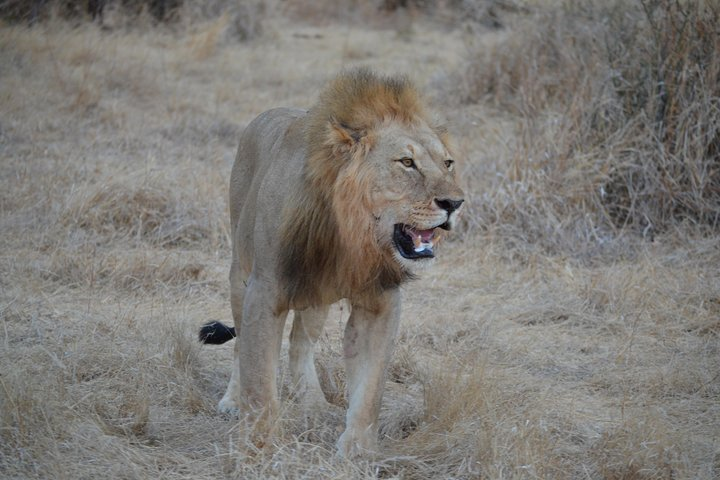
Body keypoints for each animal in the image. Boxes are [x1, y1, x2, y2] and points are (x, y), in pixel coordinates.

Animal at [199, 68, 464, 457]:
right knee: (240, 343)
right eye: (406, 163)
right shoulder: (265, 292)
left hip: (315, 297)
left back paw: (312, 402)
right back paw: (233, 401)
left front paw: (358, 450)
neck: (352, 237)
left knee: (300, 342)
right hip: (240, 273)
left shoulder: (381, 302)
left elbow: (371, 387)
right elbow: (259, 377)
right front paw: (262, 446)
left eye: (448, 163)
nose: (455, 203)